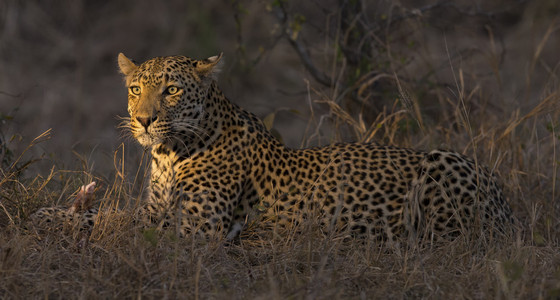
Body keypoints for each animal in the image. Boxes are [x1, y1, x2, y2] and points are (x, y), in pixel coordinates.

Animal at [30, 52, 516, 243]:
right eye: (135, 89)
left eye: (170, 90)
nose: (144, 119)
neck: (167, 154)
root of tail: (505, 201)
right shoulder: (156, 207)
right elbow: (117, 213)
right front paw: (58, 210)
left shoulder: (198, 227)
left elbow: (120, 225)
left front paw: (63, 219)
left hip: (441, 167)